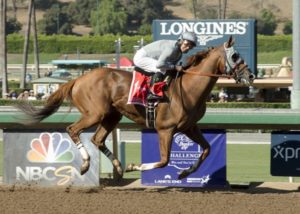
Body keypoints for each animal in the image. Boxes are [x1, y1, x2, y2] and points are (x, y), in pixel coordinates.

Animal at [17, 36, 253, 179]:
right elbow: (164, 161)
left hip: (111, 116)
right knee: (73, 130)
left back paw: (118, 167)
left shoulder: (189, 127)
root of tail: (79, 79)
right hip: (95, 113)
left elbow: (207, 149)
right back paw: (86, 164)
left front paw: (185, 173)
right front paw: (135, 167)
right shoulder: (165, 129)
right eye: (235, 56)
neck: (187, 89)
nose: (250, 76)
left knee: (97, 139)